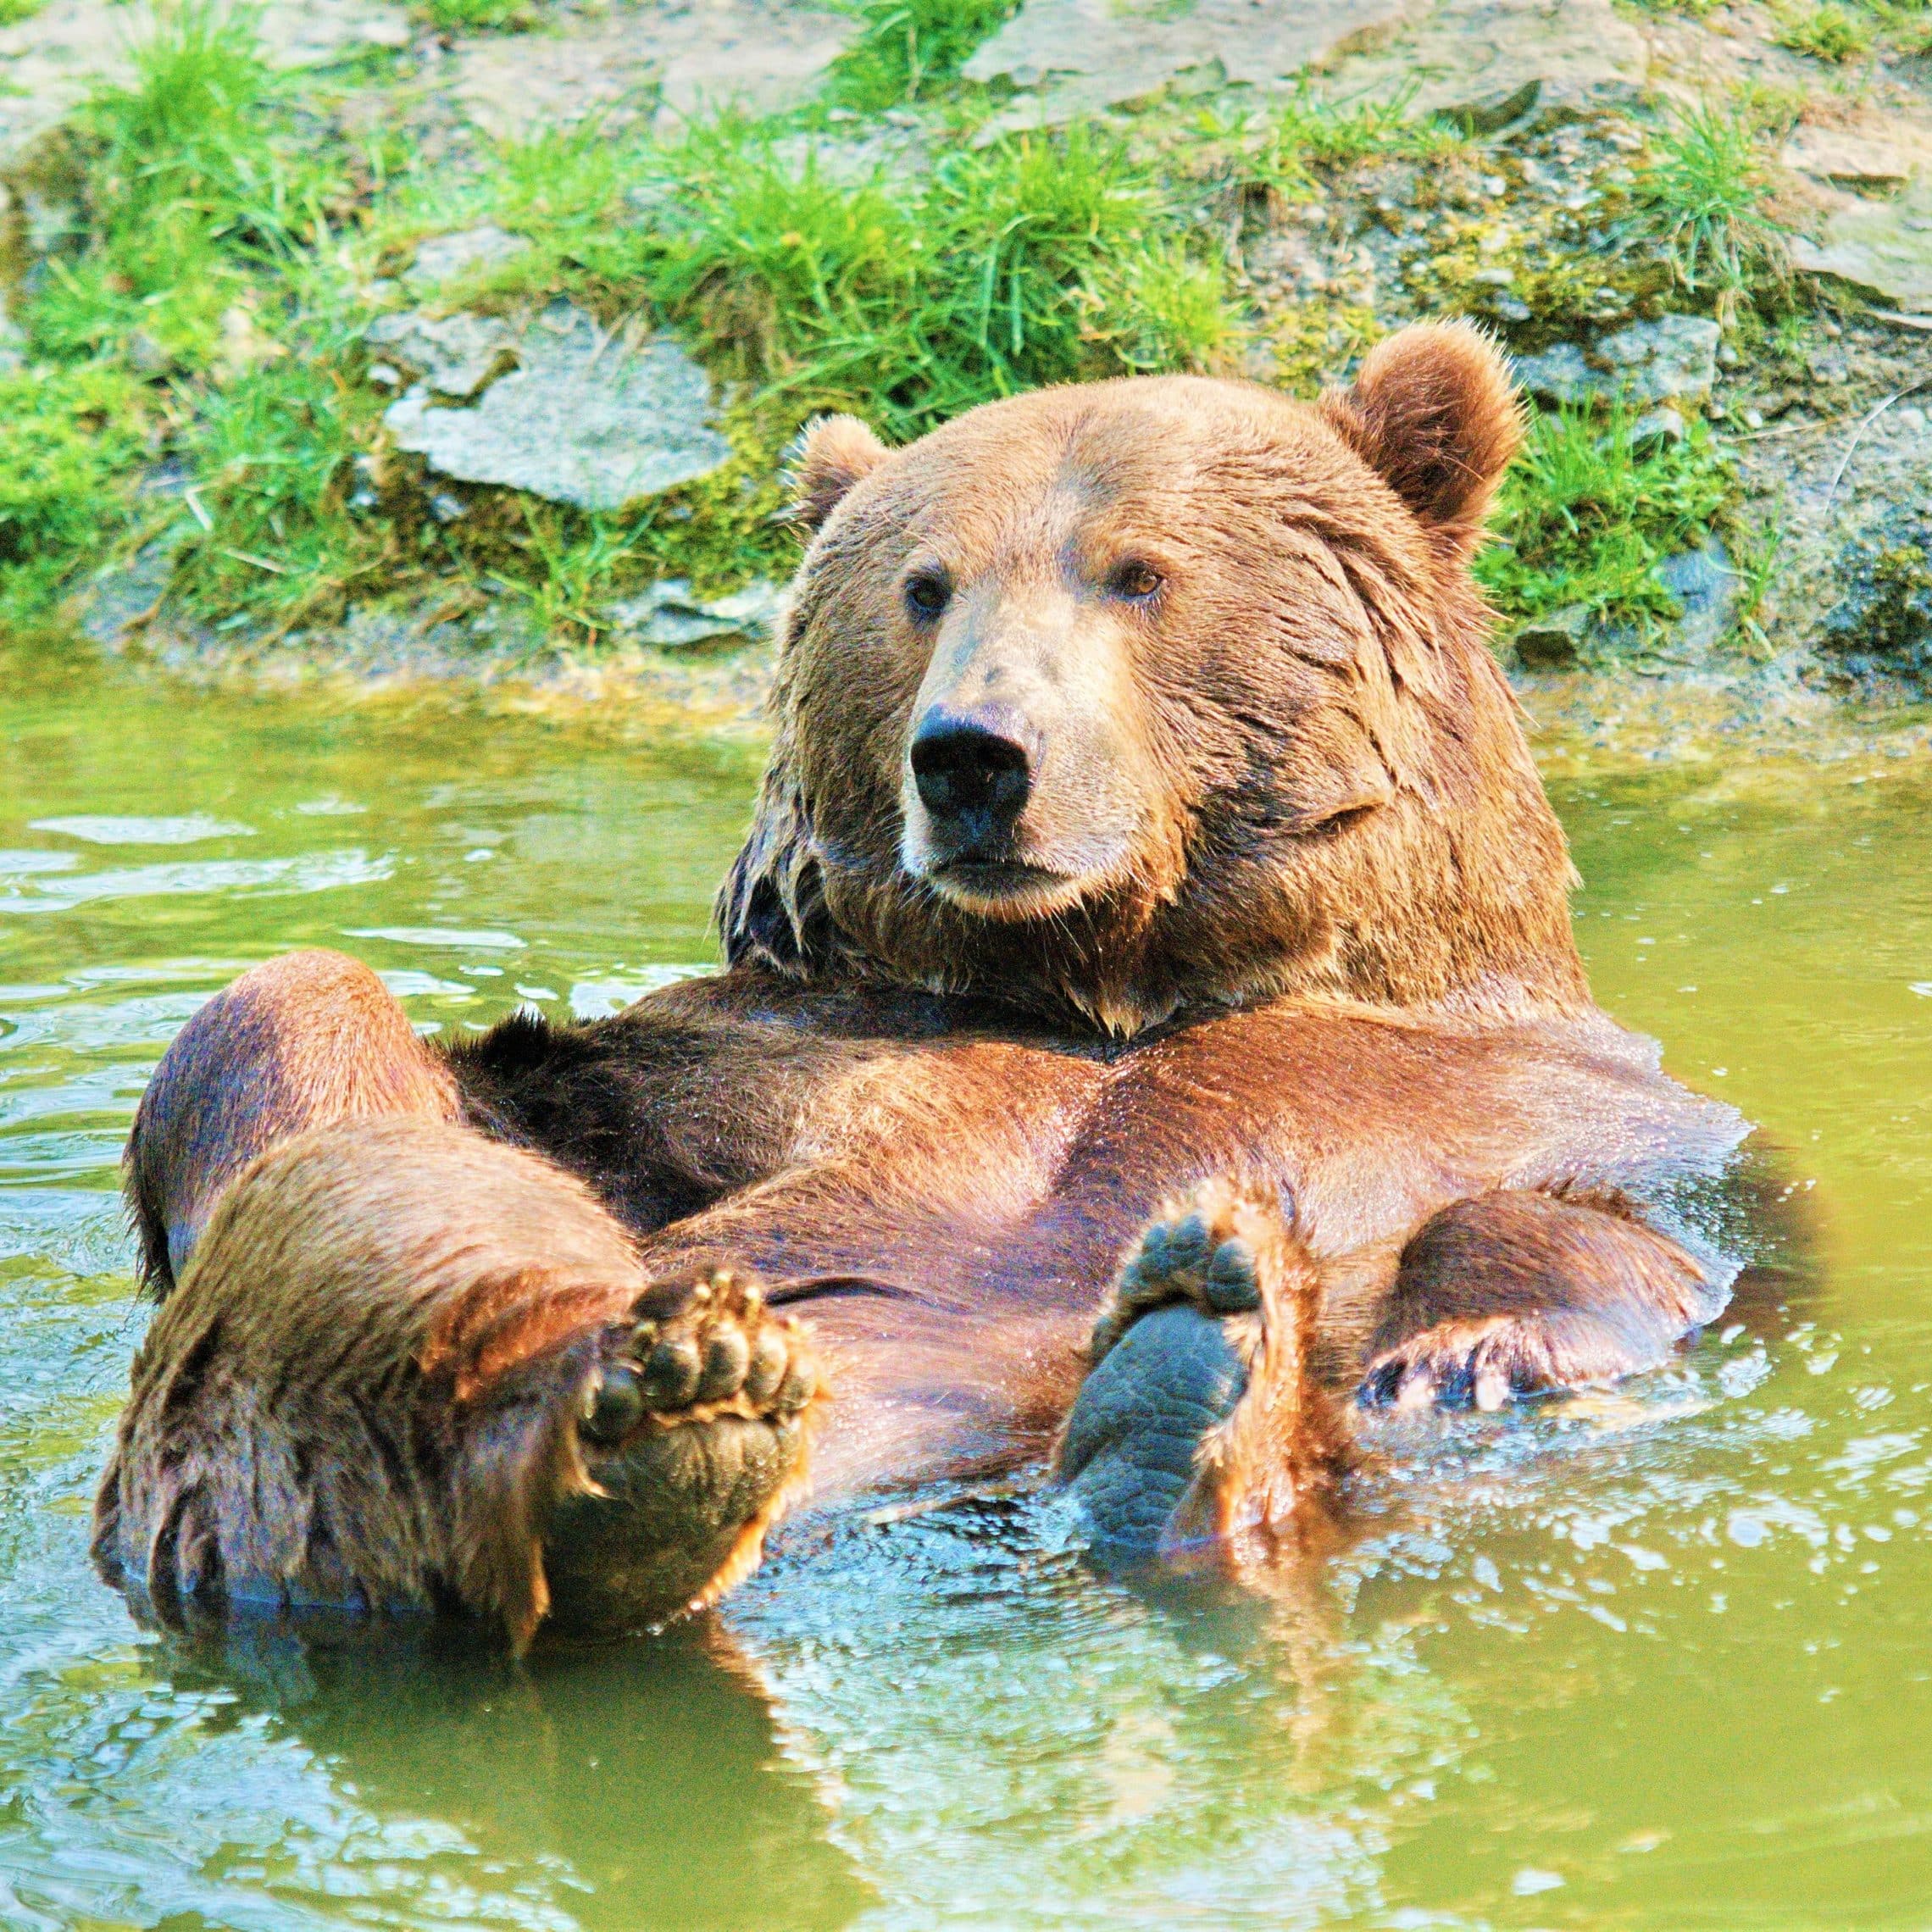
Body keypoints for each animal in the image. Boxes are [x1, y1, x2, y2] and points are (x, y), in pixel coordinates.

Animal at [91, 325, 1754, 1653]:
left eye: (1138, 573)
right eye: (925, 586)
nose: (972, 757)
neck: (1107, 979)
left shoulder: (1578, 1105)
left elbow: (1585, 1233)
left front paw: (1460, 1350)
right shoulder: (727, 1058)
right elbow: (482, 1082)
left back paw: (1181, 1403)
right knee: (342, 1137)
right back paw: (640, 1429)